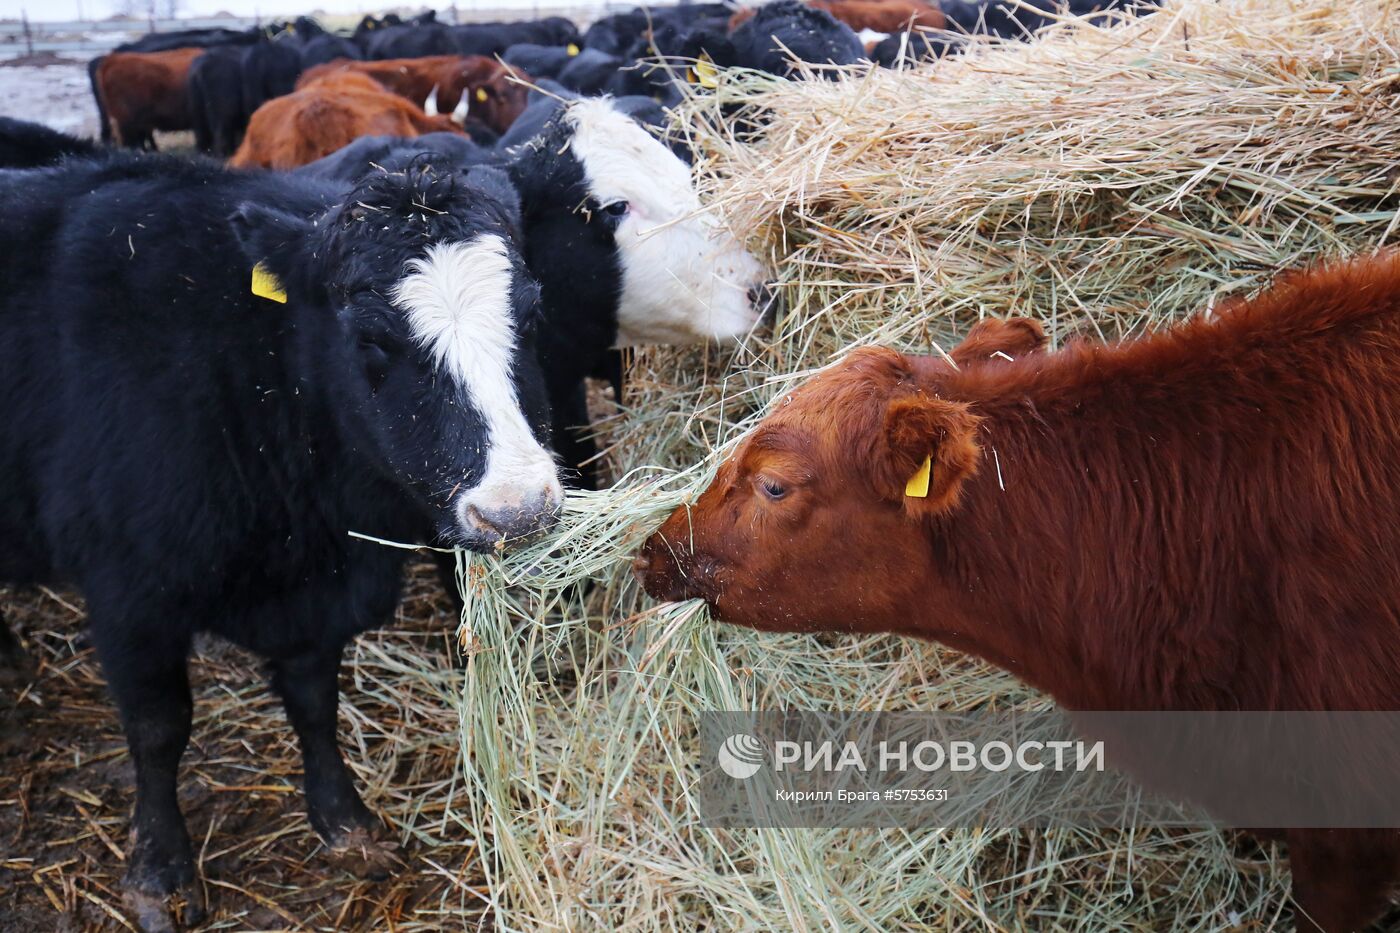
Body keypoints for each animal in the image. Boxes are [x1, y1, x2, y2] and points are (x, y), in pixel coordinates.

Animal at [1, 147, 557, 930]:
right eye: (372, 340)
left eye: (532, 313)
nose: (517, 510)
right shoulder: (127, 595)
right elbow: (158, 728)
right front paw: (160, 869)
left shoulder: (312, 596)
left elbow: (313, 701)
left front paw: (344, 819)